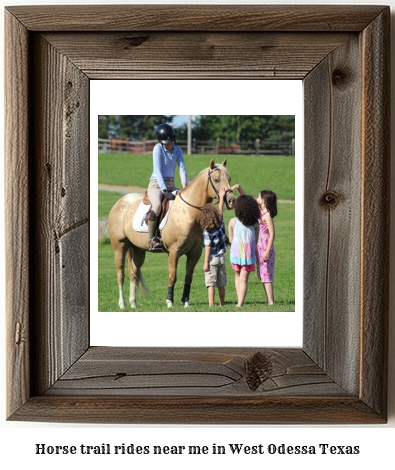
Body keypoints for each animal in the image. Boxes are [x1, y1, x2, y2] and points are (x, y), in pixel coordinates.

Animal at [108, 160, 235, 310]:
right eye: (216, 180)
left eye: (229, 179)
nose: (231, 200)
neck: (187, 212)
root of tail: (119, 203)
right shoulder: (174, 252)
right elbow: (172, 276)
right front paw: (169, 301)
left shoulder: (194, 253)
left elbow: (188, 277)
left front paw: (186, 302)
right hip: (119, 247)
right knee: (120, 274)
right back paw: (122, 304)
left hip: (138, 250)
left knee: (133, 273)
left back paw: (133, 303)